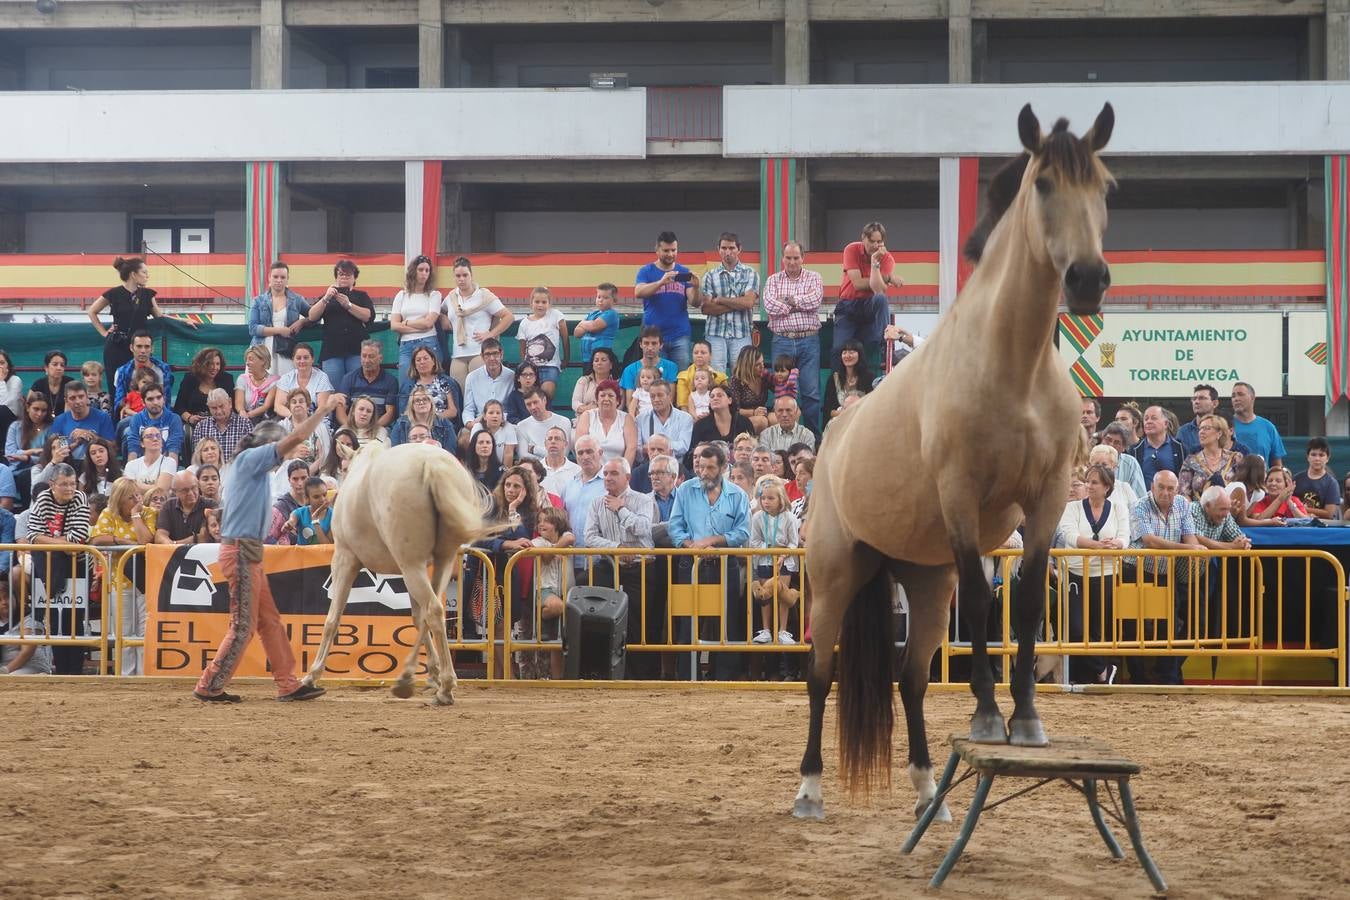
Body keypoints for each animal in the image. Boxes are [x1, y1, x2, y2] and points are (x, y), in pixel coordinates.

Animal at [788, 101, 1117, 820]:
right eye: (1043, 184)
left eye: (1105, 186)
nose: (1088, 279)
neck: (1012, 367)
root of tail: (835, 434)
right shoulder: (963, 499)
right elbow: (985, 602)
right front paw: (991, 718)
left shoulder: (1048, 499)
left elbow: (1027, 600)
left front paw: (1025, 720)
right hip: (835, 573)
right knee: (820, 676)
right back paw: (809, 788)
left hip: (922, 580)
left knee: (909, 679)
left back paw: (926, 792)